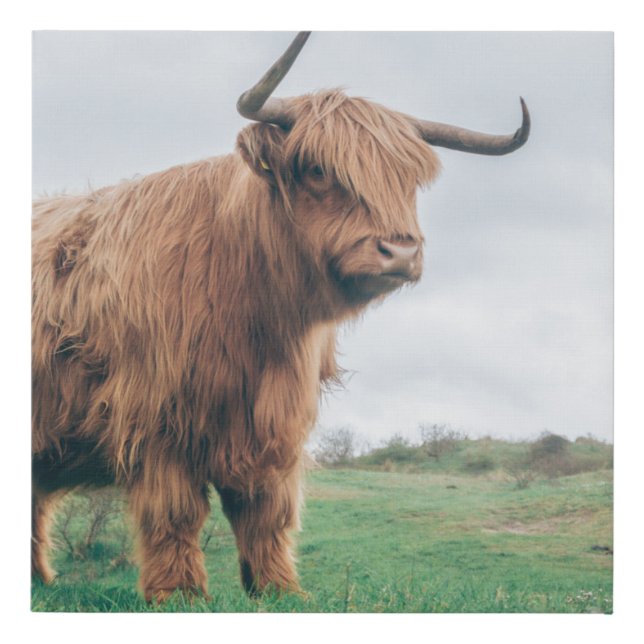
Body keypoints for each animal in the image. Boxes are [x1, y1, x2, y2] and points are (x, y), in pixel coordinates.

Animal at [32, 32, 530, 602]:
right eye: (317, 169)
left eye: (407, 181)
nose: (400, 251)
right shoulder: (157, 415)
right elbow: (176, 512)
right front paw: (179, 594)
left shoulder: (276, 423)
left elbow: (267, 512)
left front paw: (280, 591)